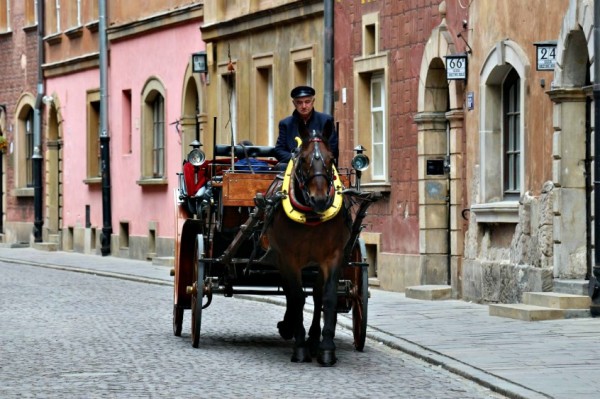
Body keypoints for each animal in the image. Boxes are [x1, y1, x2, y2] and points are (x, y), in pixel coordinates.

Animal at [262, 120, 352, 368]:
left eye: (331, 159)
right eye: (302, 159)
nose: (319, 199)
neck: (312, 216)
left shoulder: (333, 256)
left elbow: (327, 297)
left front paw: (326, 348)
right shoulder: (289, 258)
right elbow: (297, 297)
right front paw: (300, 347)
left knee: (317, 295)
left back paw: (313, 338)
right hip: (281, 259)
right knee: (291, 293)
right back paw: (291, 329)